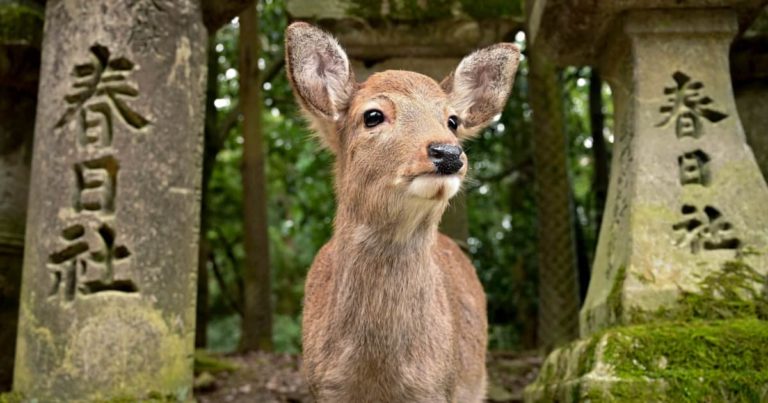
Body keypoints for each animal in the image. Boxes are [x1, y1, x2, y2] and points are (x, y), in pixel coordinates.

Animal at [284, 22, 520, 403]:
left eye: (452, 120)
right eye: (373, 115)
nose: (448, 153)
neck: (376, 375)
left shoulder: (437, 389)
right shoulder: (325, 389)